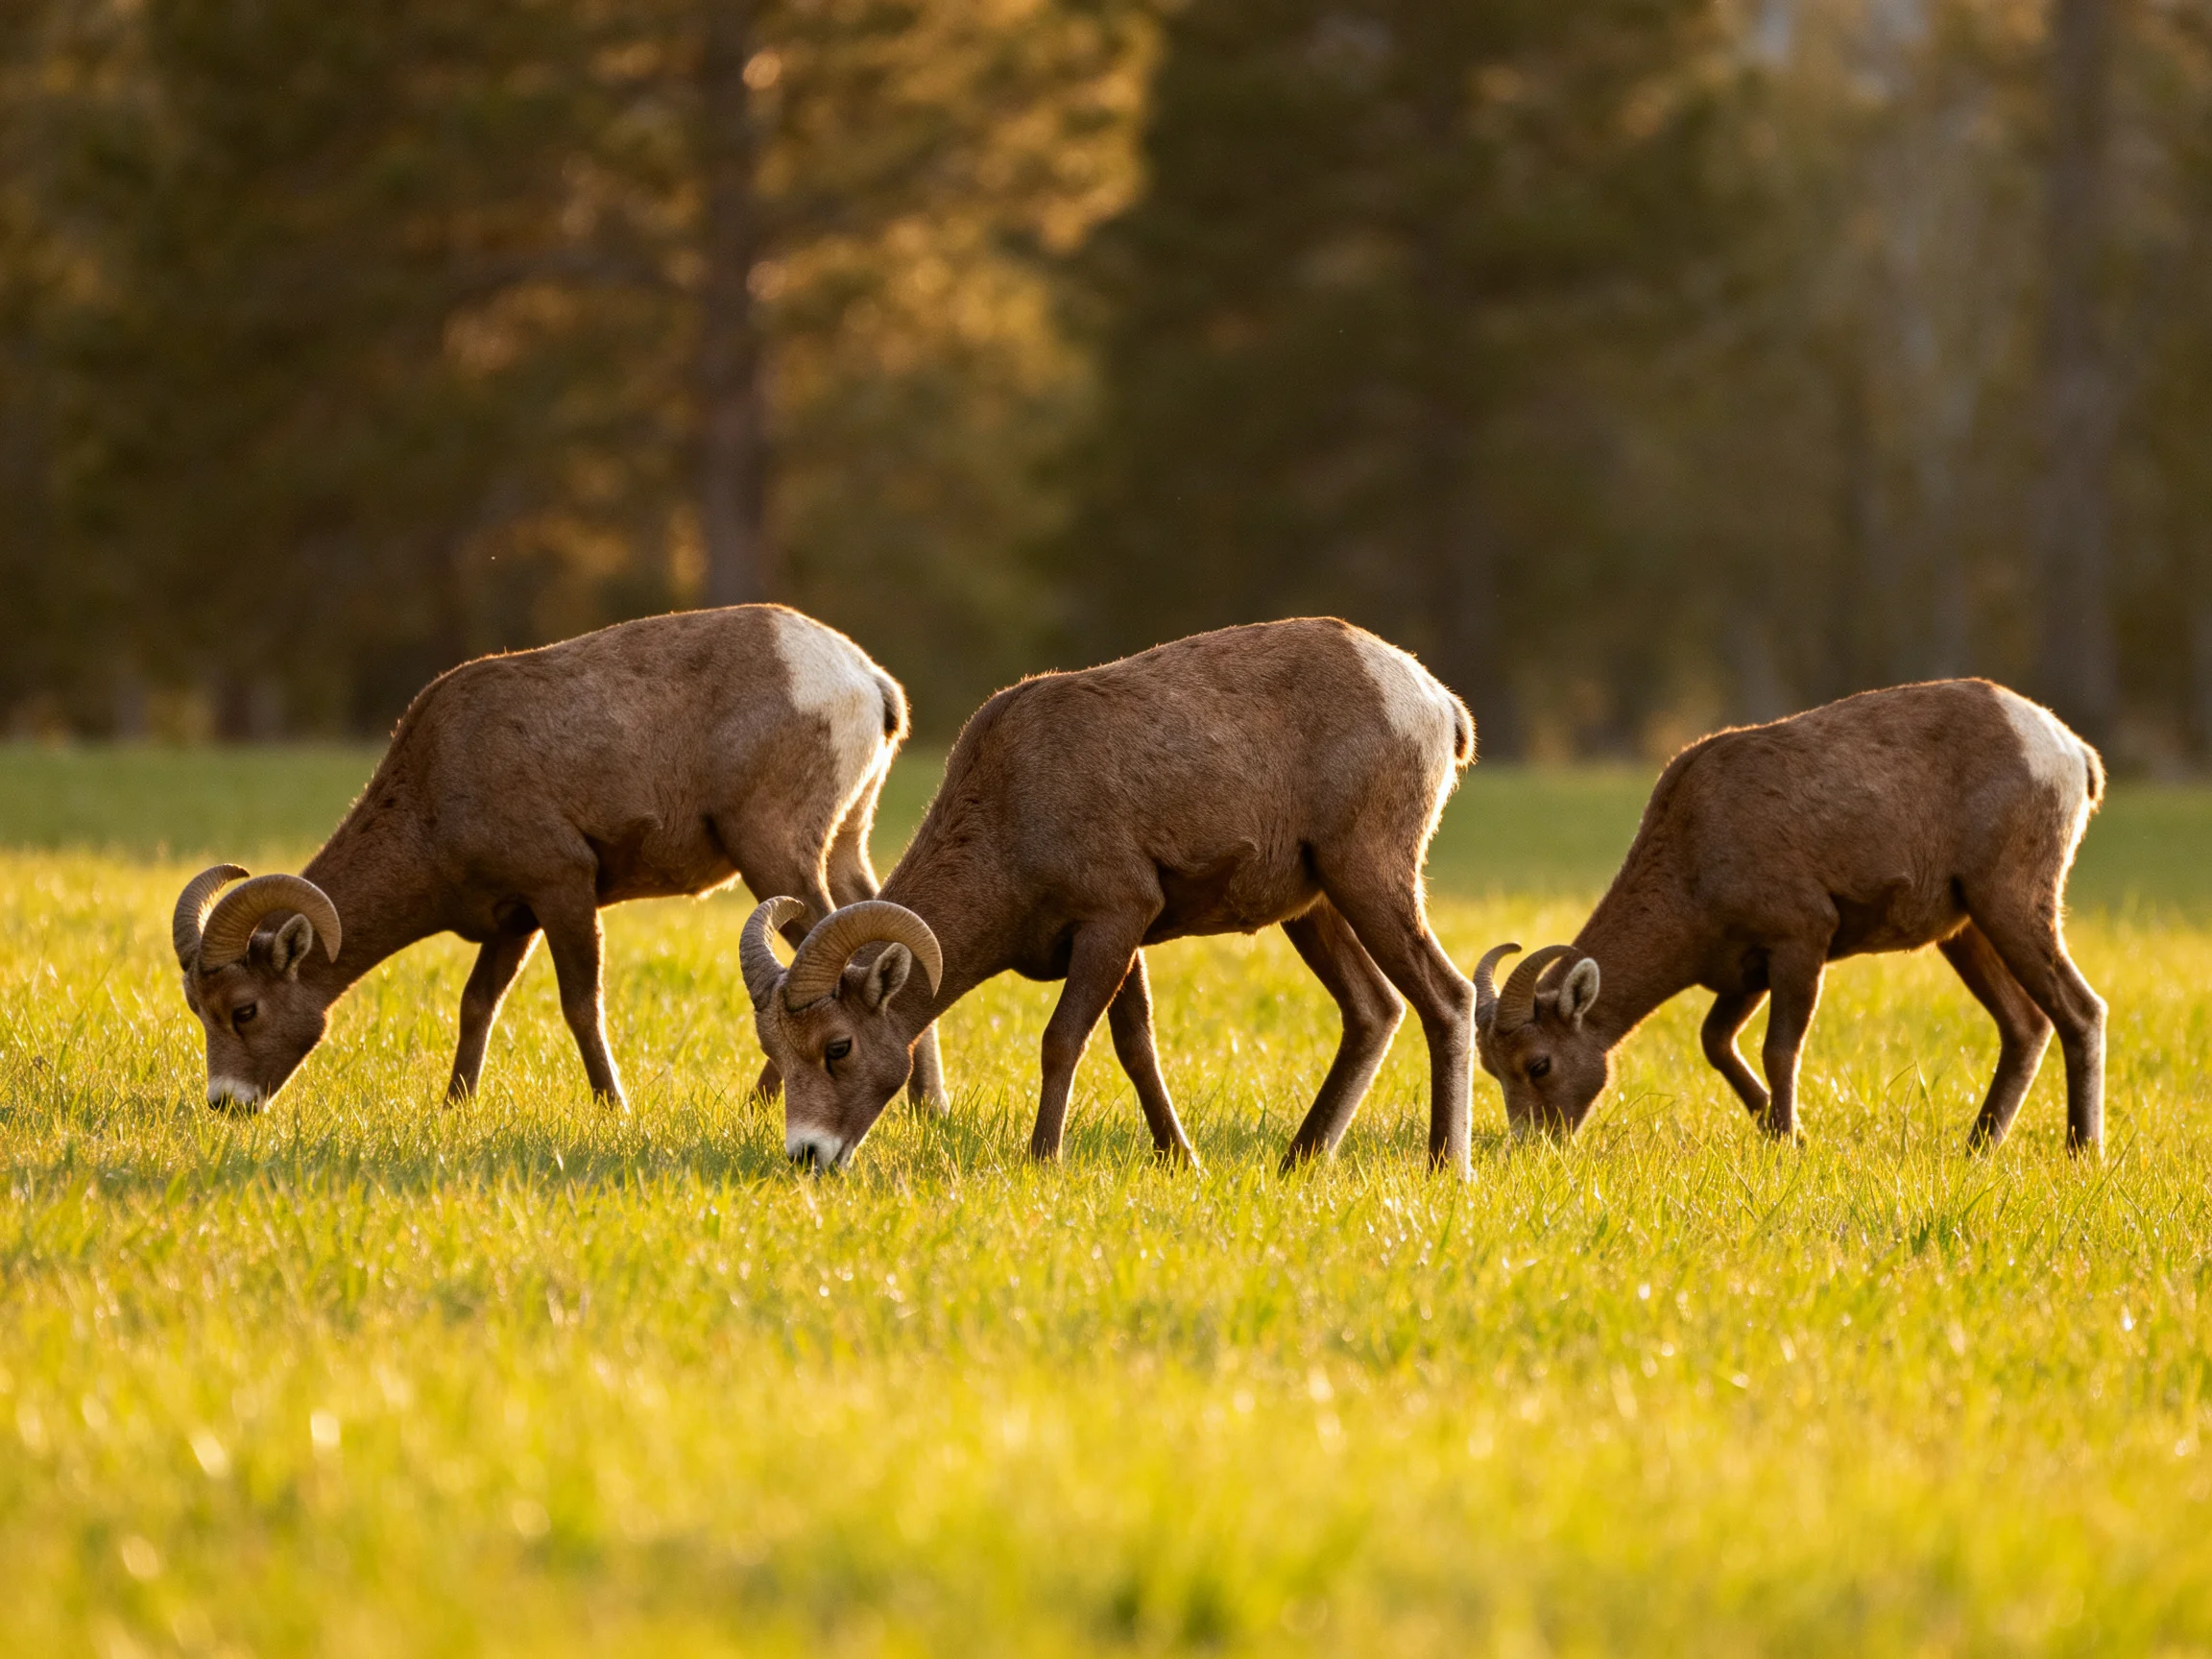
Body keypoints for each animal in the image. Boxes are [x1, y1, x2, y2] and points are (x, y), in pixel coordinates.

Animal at [169, 605, 945, 1115]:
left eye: (244, 1009)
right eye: (198, 1010)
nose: (227, 1104)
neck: (434, 786)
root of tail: (865, 682)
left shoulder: (563, 889)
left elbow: (580, 1005)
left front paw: (614, 1109)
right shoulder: (514, 919)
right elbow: (476, 1004)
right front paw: (455, 1107)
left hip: (776, 856)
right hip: (843, 843)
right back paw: (922, 1105)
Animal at [732, 617, 1479, 1175]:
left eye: (838, 1047)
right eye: (777, 1048)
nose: (807, 1155)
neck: (1010, 812)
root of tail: (1434, 702)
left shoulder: (1112, 922)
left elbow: (1063, 1041)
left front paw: (1042, 1159)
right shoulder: (1124, 940)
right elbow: (1135, 1048)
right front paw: (1182, 1160)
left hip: (1369, 878)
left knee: (1446, 999)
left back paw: (1445, 1168)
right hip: (1318, 909)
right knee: (1374, 1012)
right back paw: (1297, 1162)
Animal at [1471, 679, 2106, 1152]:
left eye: (1539, 1064)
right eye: (1492, 1070)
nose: (1533, 1145)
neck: (1695, 848)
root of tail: (2071, 752)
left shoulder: (1800, 943)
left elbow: (1779, 1050)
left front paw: (1790, 1137)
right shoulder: (1744, 973)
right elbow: (1716, 1042)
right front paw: (1779, 1130)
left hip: (2012, 905)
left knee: (2081, 1011)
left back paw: (2082, 1150)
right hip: (1966, 931)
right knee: (2026, 1025)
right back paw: (1979, 1145)